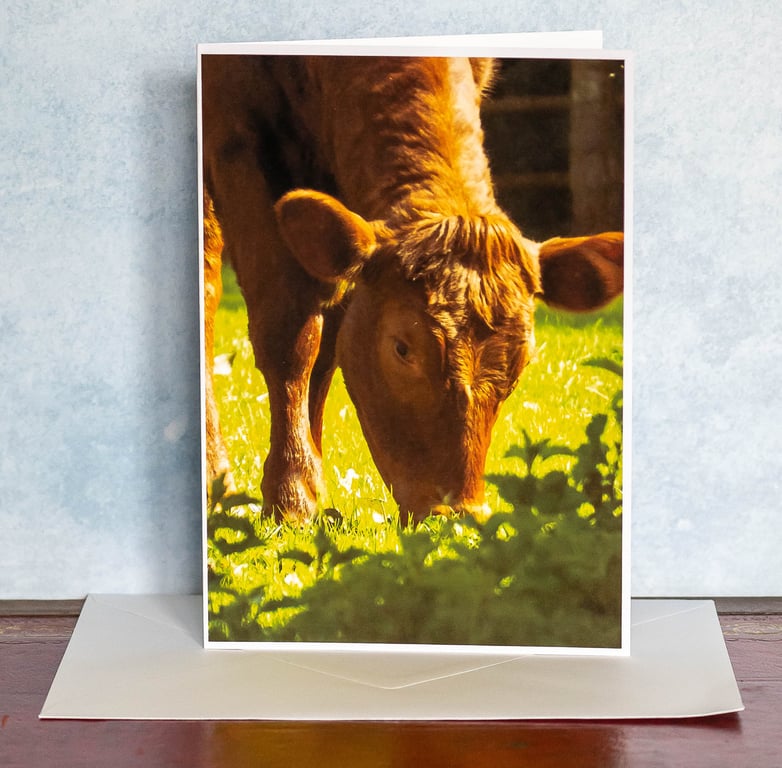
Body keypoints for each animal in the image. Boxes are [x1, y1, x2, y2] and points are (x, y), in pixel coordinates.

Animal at [200, 55, 623, 523]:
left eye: (522, 360)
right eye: (402, 348)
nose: (457, 513)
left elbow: (328, 343)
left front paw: (312, 482)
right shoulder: (240, 131)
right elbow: (291, 336)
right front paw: (291, 496)